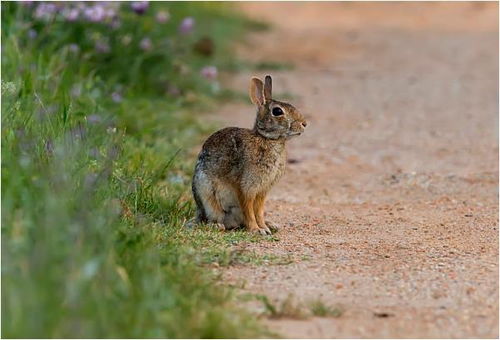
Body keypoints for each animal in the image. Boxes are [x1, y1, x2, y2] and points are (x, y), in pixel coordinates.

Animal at [188, 74, 304, 235]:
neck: (267, 139)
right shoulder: (245, 186)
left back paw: (272, 225)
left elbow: (258, 211)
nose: (304, 124)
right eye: (277, 111)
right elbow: (249, 210)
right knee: (210, 218)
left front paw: (264, 227)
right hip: (206, 195)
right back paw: (216, 226)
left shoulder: (262, 190)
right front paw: (257, 230)